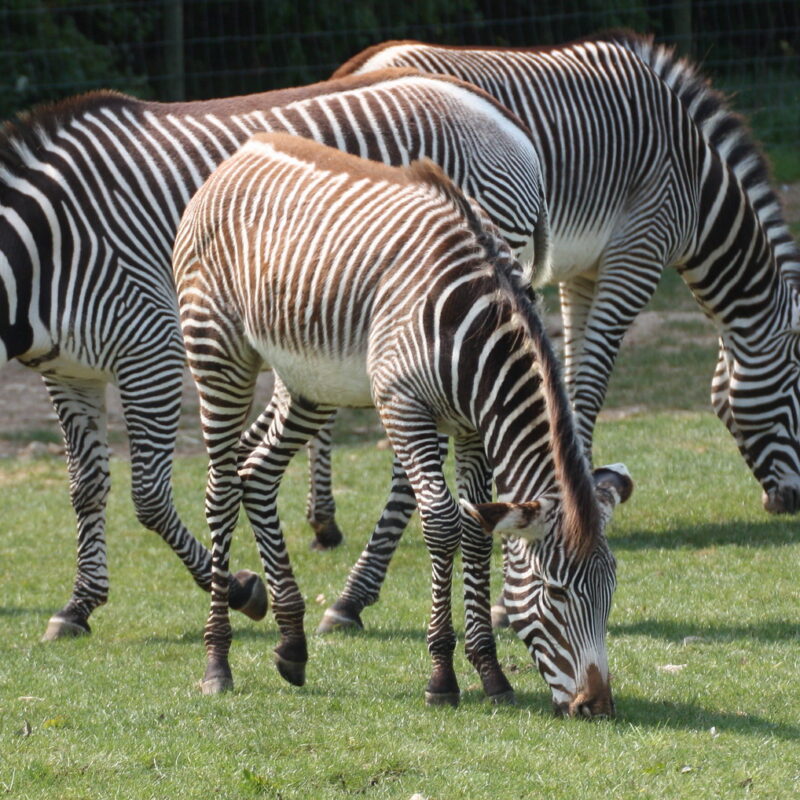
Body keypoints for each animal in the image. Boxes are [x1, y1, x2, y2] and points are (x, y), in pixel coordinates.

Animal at [0, 68, 549, 641]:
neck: (45, 250)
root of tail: (500, 118)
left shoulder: (149, 347)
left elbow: (148, 496)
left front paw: (240, 590)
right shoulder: (68, 373)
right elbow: (85, 486)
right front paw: (78, 604)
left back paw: (360, 598)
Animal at [172, 131, 633, 714]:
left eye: (612, 591)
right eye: (556, 591)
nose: (596, 706)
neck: (479, 334)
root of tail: (244, 151)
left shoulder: (473, 427)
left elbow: (476, 532)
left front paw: (490, 672)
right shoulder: (405, 407)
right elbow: (441, 523)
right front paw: (442, 676)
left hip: (308, 378)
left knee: (256, 475)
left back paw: (293, 644)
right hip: (217, 352)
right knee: (220, 492)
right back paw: (217, 660)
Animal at [312, 32, 800, 633]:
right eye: (799, 385)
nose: (792, 502)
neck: (696, 184)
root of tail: (355, 70)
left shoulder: (582, 275)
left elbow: (564, 384)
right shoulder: (636, 257)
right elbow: (586, 391)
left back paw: (323, 521)